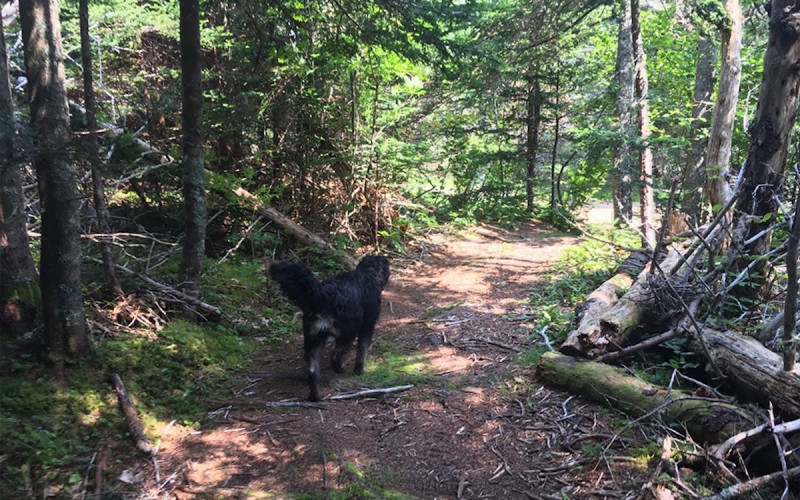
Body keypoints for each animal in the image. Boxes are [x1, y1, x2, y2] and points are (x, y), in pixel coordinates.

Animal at [268, 256, 390, 400]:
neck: (368, 274)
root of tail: (325, 294)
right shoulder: (367, 326)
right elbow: (362, 351)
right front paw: (359, 370)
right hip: (346, 333)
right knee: (336, 355)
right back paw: (340, 368)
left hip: (313, 339)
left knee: (313, 371)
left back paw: (315, 396)